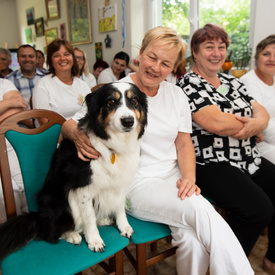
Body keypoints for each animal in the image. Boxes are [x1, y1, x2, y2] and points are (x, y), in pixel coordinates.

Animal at [0, 82, 149, 264]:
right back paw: (72, 235)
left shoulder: (120, 182)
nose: (128, 121)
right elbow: (89, 217)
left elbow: (119, 206)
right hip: (56, 200)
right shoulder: (82, 188)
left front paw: (124, 227)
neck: (112, 145)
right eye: (111, 102)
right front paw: (95, 241)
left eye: (134, 100)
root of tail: (37, 216)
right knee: (47, 234)